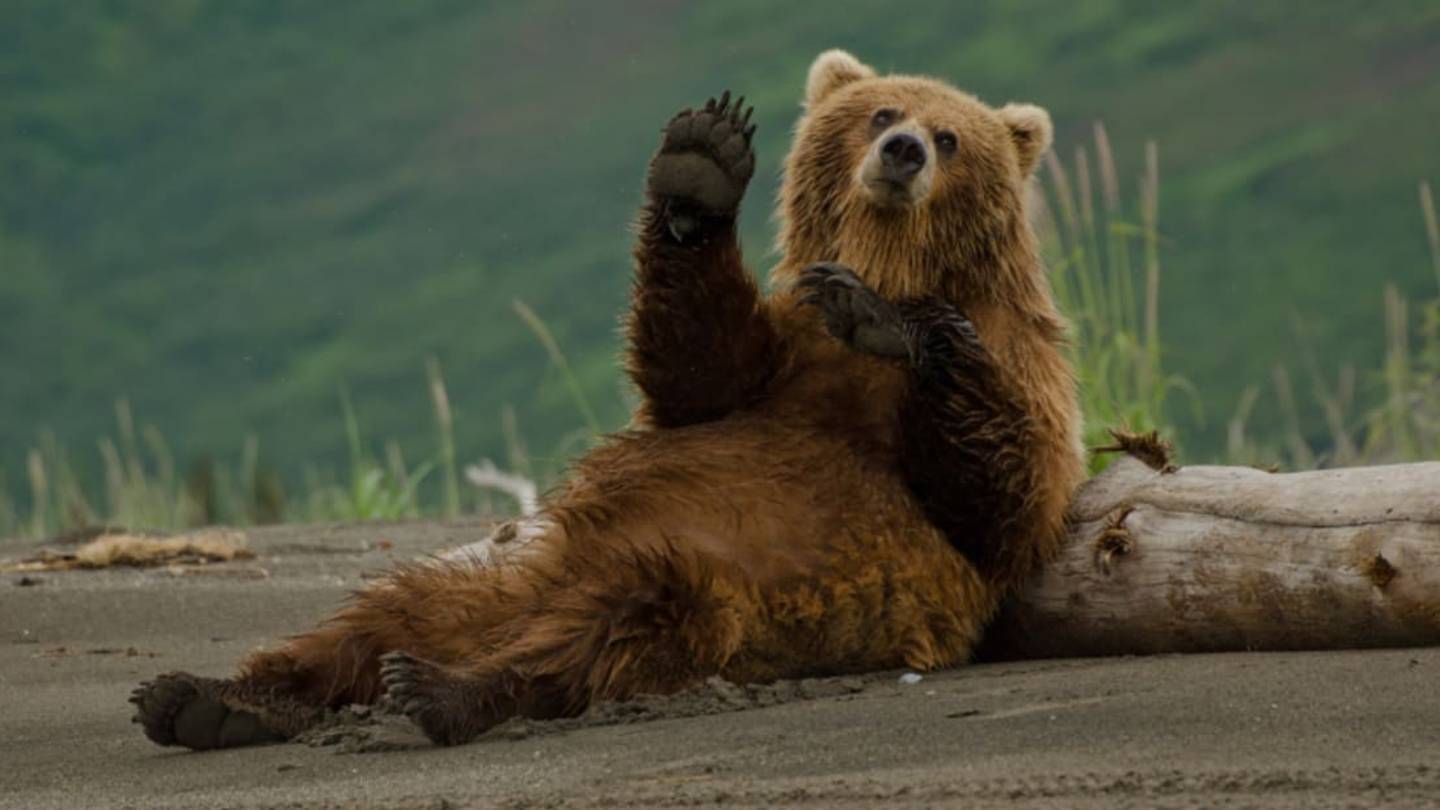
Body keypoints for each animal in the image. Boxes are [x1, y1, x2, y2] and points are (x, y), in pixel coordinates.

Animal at [129, 49, 1084, 749]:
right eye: (883, 113)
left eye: (951, 135)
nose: (903, 152)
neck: (892, 258)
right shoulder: (778, 361)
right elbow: (696, 366)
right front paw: (702, 164)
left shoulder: (1017, 367)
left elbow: (1003, 496)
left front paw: (891, 321)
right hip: (494, 577)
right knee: (372, 614)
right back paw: (207, 696)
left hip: (714, 589)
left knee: (610, 628)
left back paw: (441, 689)